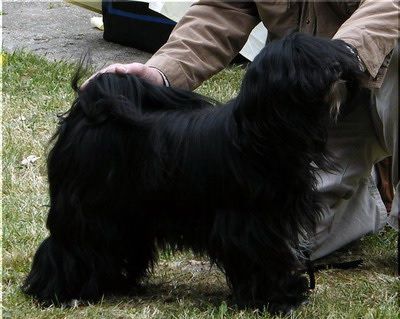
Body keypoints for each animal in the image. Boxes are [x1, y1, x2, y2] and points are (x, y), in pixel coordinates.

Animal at [23, 33, 362, 314]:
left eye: (325, 51)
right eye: (303, 61)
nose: (337, 66)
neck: (261, 138)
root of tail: (88, 109)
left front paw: (286, 291)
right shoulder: (251, 224)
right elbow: (262, 259)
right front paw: (274, 299)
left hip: (128, 214)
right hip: (88, 209)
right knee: (68, 245)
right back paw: (59, 292)